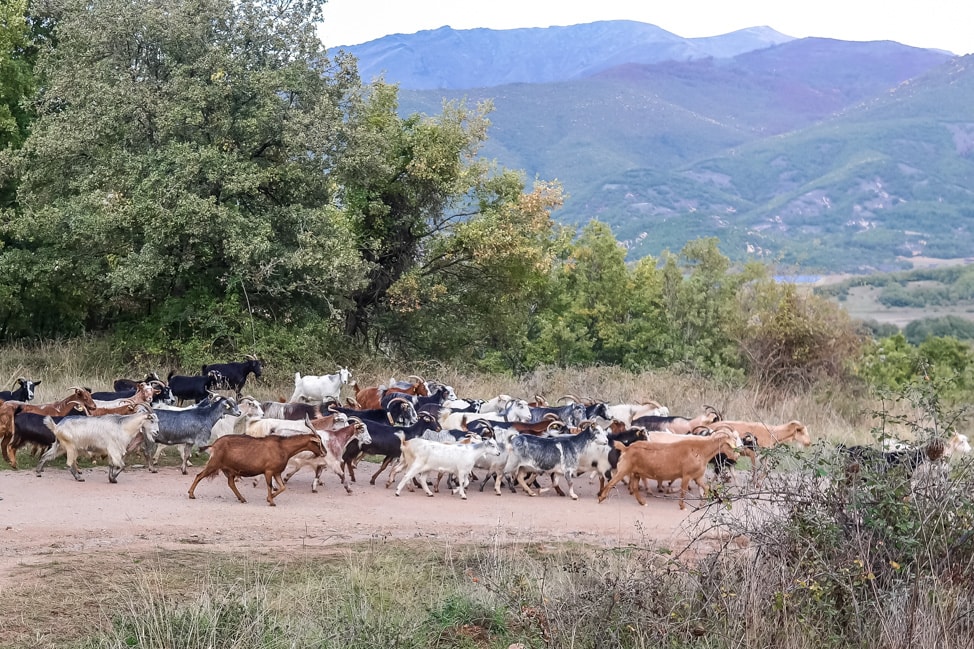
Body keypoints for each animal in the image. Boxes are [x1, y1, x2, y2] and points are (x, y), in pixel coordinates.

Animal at [189, 436, 326, 506]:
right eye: (318, 443)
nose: (324, 452)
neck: (283, 447)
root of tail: (214, 445)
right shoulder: (269, 471)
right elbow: (270, 485)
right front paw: (271, 501)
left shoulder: (277, 472)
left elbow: (283, 487)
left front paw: (269, 498)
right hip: (214, 464)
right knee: (199, 475)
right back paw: (191, 494)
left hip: (229, 469)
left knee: (230, 483)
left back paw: (242, 498)